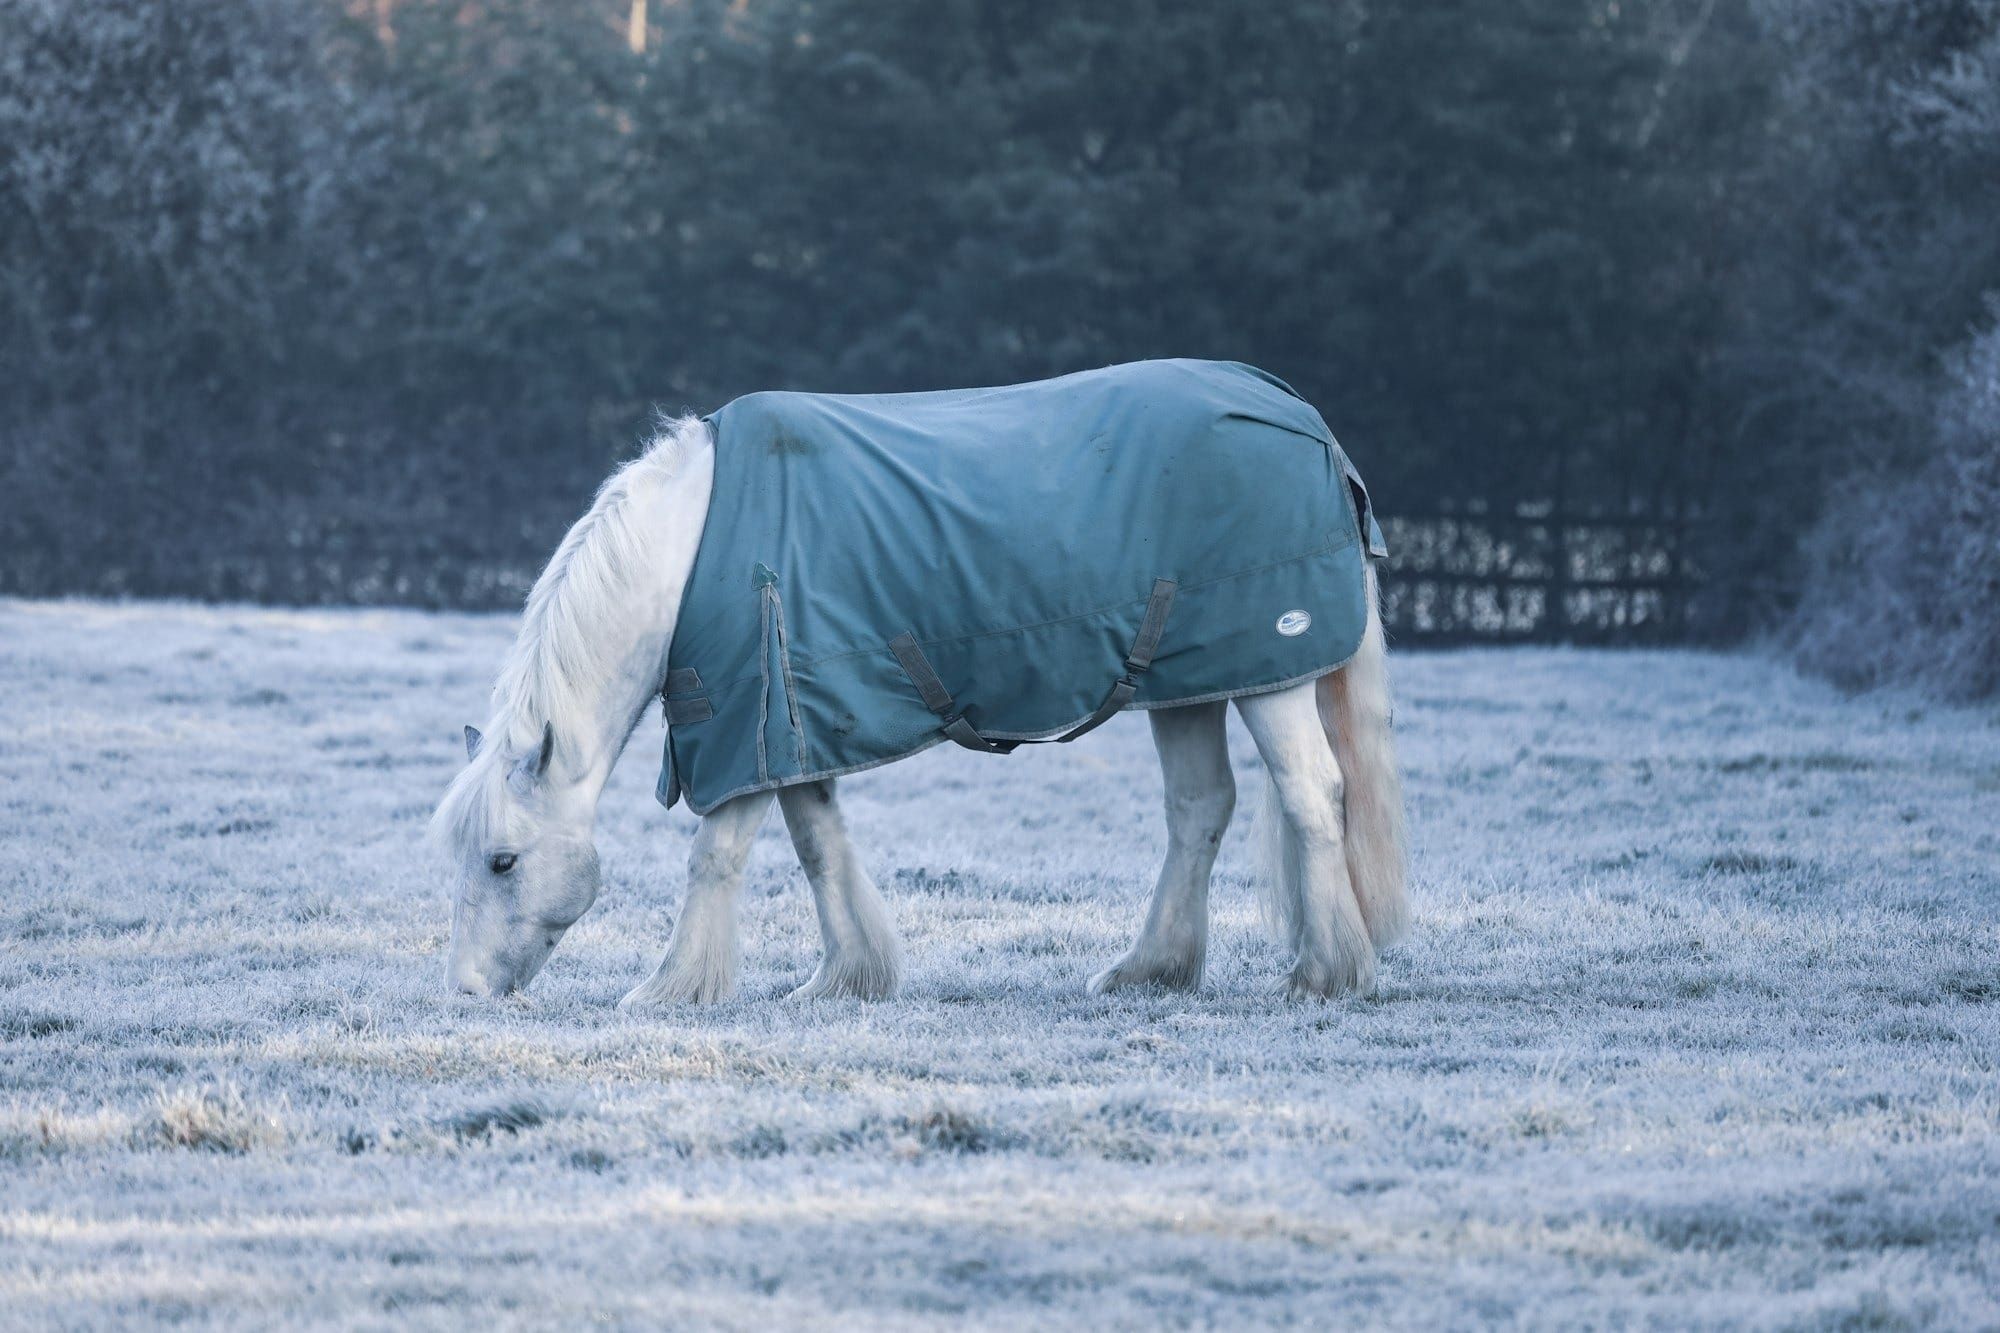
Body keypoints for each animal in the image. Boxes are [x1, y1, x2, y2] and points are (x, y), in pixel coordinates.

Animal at [431, 361, 1407, 1005]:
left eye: (503, 858)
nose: (470, 990)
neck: (691, 550)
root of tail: (1297, 412)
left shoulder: (748, 728)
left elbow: (716, 856)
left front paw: (671, 988)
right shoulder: (795, 724)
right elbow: (820, 846)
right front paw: (845, 976)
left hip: (1269, 677)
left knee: (1313, 794)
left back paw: (1325, 974)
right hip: (1190, 683)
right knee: (1200, 809)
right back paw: (1150, 970)